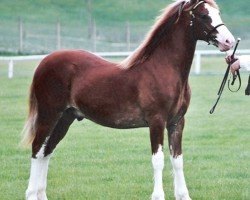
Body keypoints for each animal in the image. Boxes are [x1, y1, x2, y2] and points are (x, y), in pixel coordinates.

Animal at [21, 0, 234, 199]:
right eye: (203, 15)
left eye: (218, 13)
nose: (229, 41)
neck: (163, 68)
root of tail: (44, 62)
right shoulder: (156, 121)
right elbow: (158, 160)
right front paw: (158, 196)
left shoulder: (177, 123)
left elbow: (177, 160)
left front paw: (183, 195)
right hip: (49, 116)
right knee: (37, 150)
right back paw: (31, 194)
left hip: (65, 118)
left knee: (47, 151)